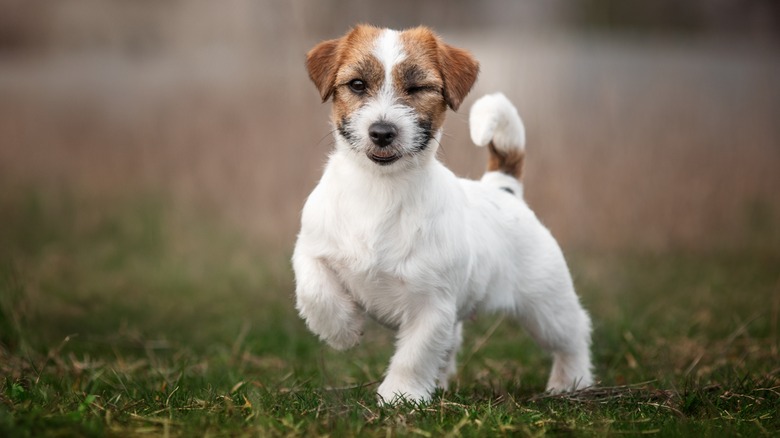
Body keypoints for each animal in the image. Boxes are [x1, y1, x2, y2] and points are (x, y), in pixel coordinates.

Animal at [292, 24, 592, 404]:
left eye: (417, 88)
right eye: (357, 84)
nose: (382, 132)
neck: (379, 189)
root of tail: (503, 188)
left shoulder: (431, 304)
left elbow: (414, 354)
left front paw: (400, 396)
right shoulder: (310, 250)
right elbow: (315, 292)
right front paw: (343, 331)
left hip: (546, 307)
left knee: (575, 333)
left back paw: (571, 381)